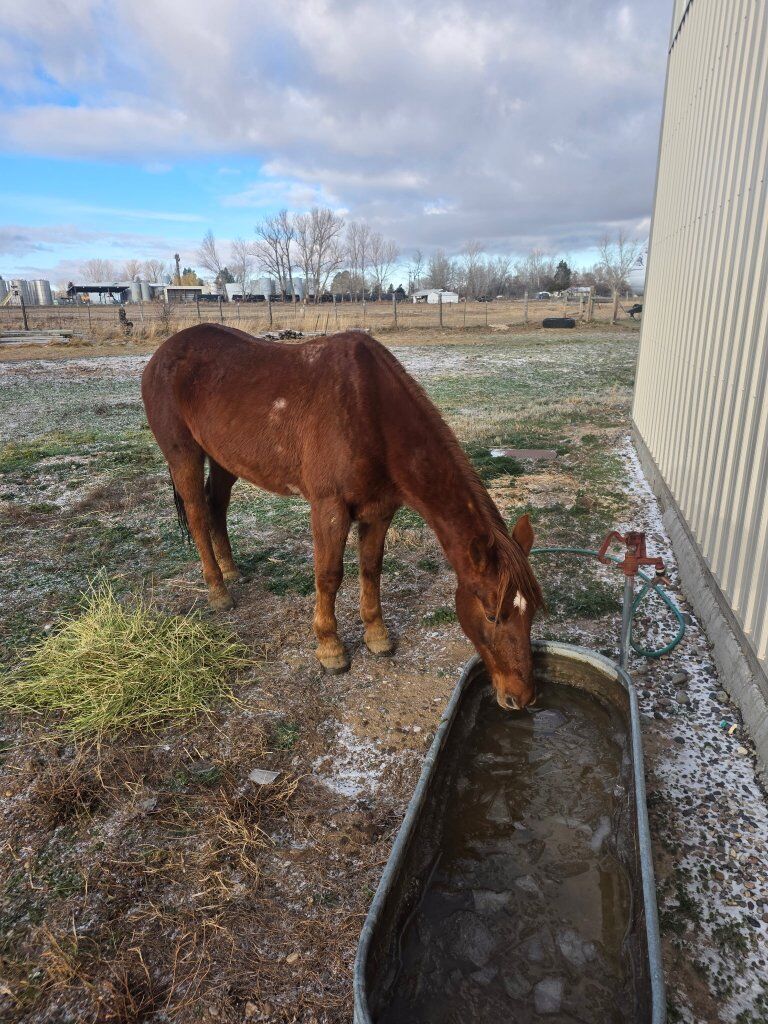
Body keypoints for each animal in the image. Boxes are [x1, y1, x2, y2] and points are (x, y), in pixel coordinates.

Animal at [141, 325, 544, 710]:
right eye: (492, 615)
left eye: (531, 610)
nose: (521, 696)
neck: (371, 411)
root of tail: (163, 353)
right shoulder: (329, 507)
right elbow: (329, 576)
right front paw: (330, 649)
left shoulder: (379, 510)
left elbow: (370, 569)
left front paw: (377, 637)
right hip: (184, 455)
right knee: (197, 514)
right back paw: (218, 591)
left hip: (225, 458)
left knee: (217, 507)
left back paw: (231, 570)